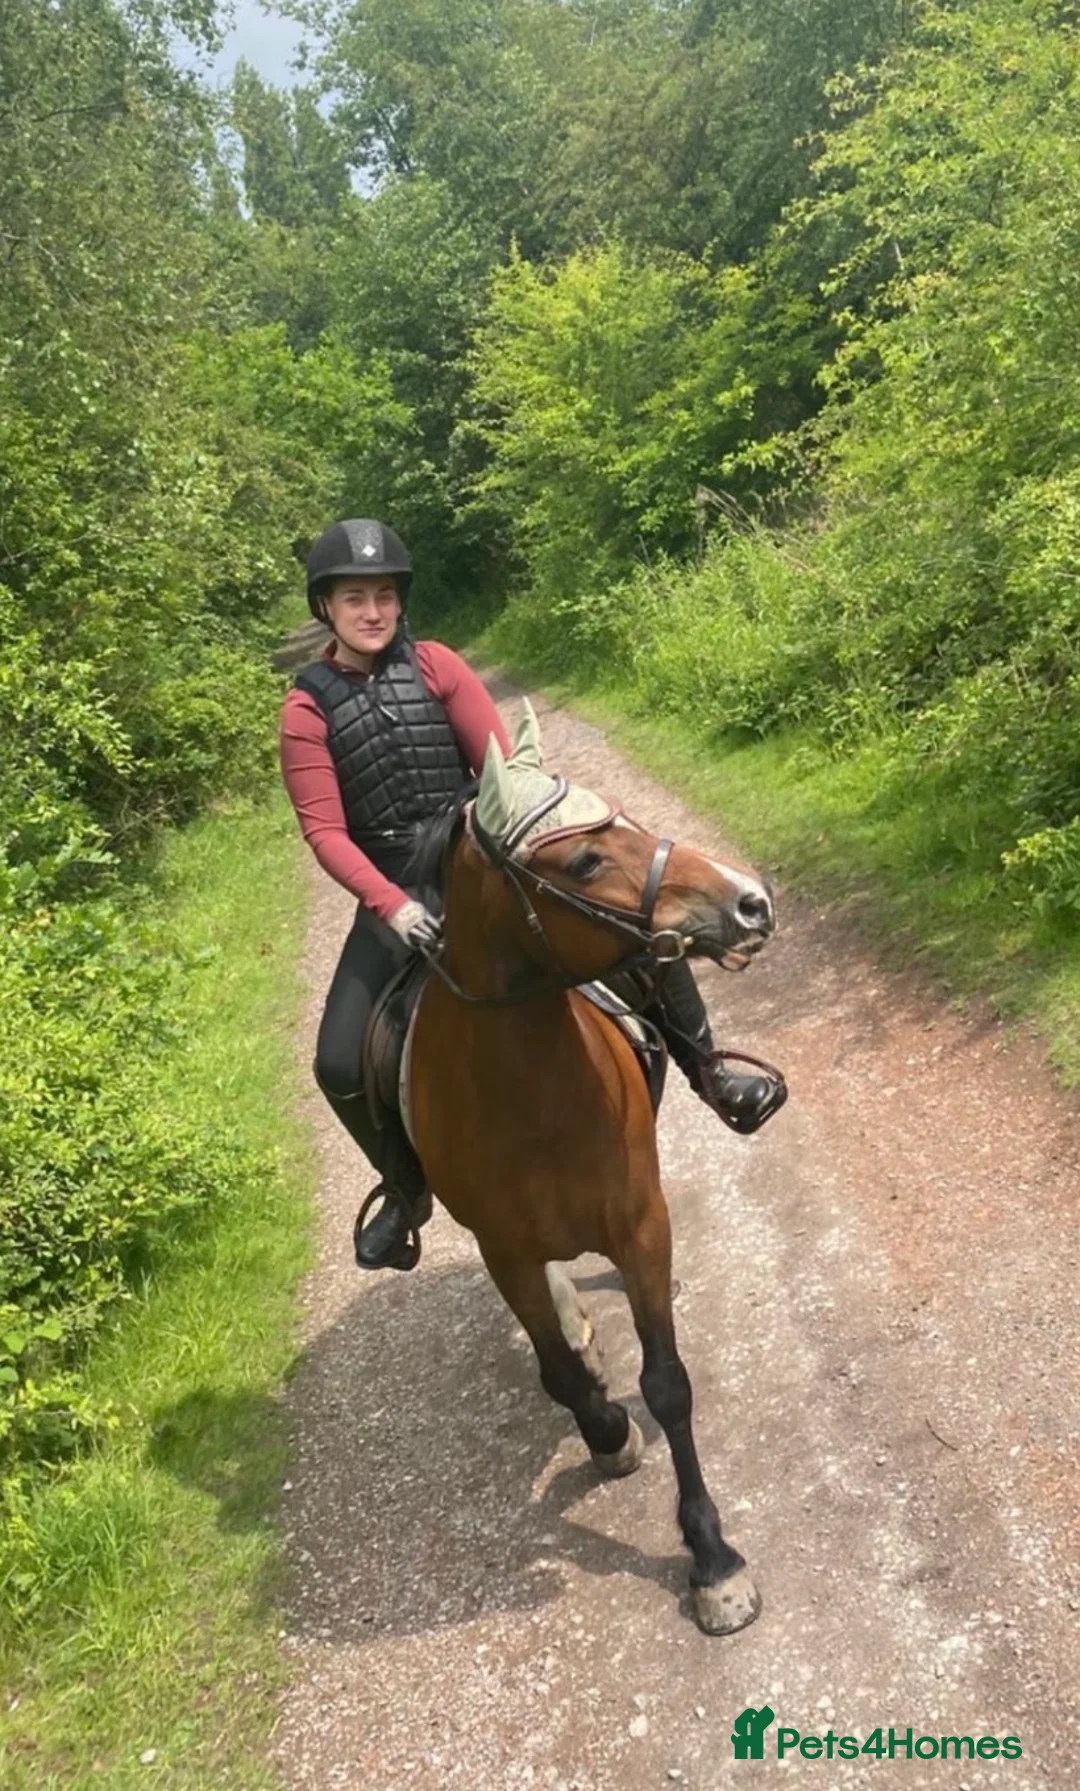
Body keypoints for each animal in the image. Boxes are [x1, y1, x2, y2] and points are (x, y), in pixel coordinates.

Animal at [405, 700, 776, 1635]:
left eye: (628, 824)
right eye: (583, 859)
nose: (751, 900)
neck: (531, 1097)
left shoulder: (641, 1225)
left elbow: (668, 1383)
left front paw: (713, 1559)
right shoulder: (502, 1249)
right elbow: (560, 1373)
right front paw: (608, 1432)